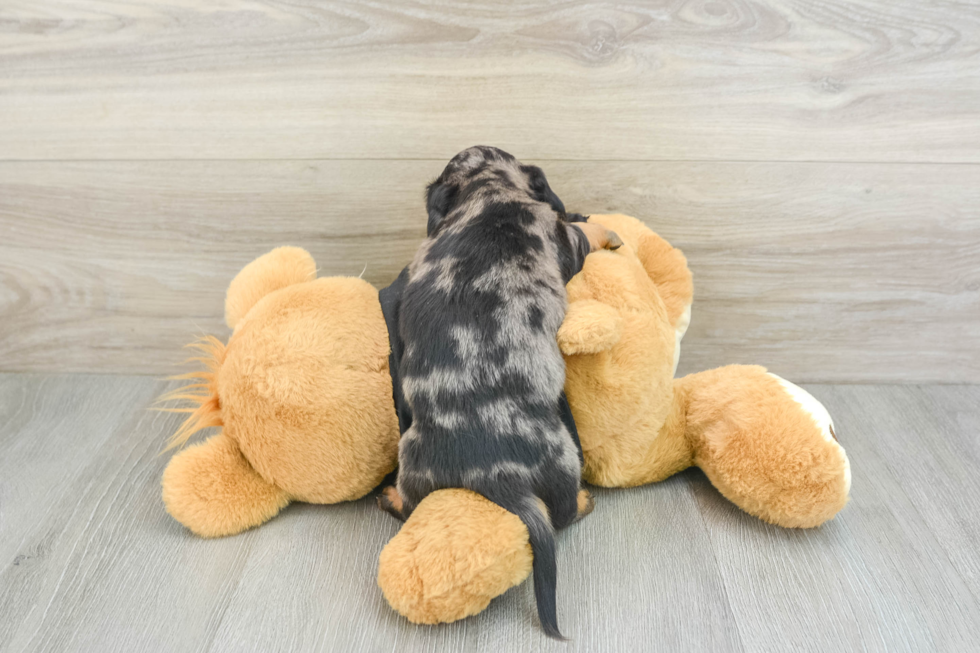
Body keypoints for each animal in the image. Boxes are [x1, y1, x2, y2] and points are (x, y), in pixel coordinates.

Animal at [378, 146, 616, 636]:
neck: (488, 193)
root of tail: (496, 475)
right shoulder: (562, 238)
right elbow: (581, 232)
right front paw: (602, 227)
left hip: (414, 464)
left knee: (410, 505)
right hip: (566, 463)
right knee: (563, 513)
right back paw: (584, 501)